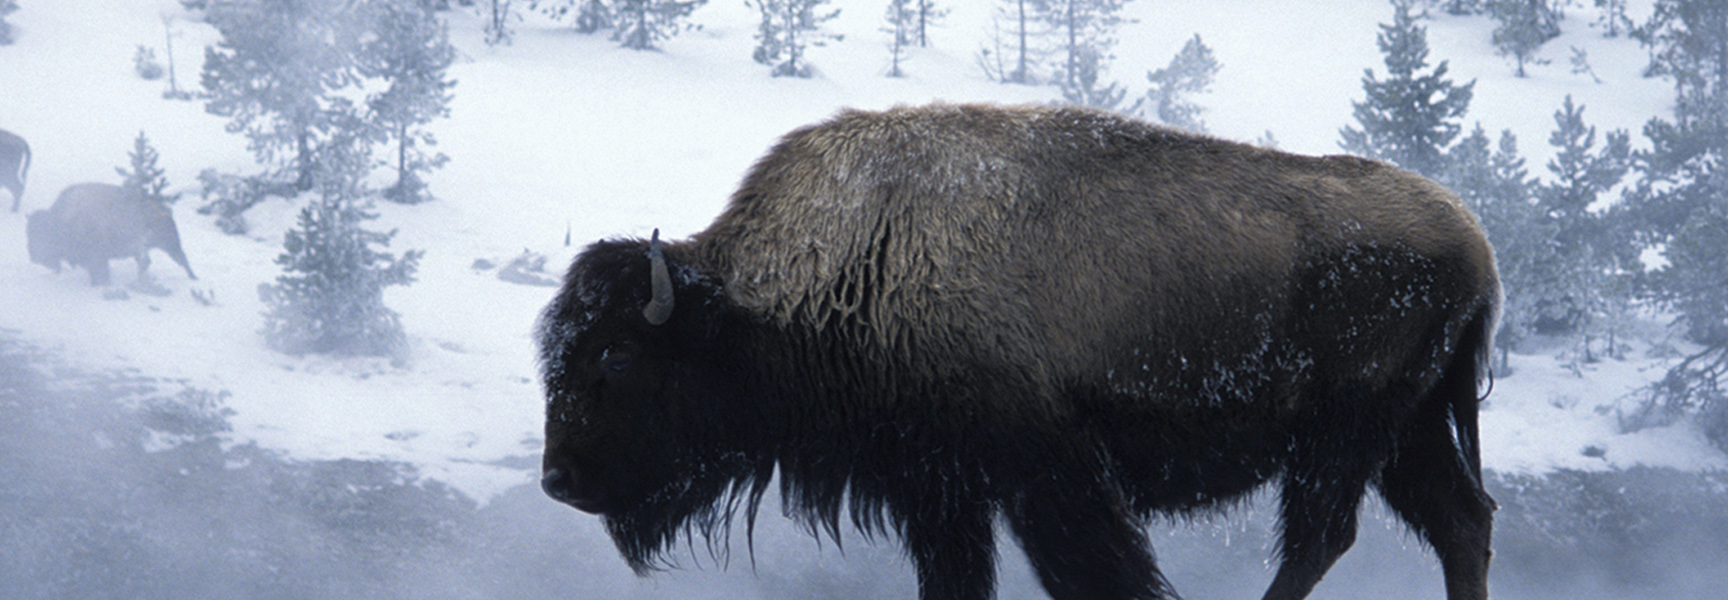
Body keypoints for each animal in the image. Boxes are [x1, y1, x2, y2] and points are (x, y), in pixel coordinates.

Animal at [28, 183, 196, 286]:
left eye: (41, 234)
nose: (34, 257)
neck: (63, 218)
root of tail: (165, 210)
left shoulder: (97, 257)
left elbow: (101, 272)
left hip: (169, 245)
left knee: (181, 259)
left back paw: (193, 278)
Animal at [537, 103, 1501, 600]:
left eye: (616, 358)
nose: (558, 479)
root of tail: (1473, 239)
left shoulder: (1049, 478)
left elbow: (1100, 576)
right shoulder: (940, 490)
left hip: (1344, 436)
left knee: (1323, 537)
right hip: (1406, 432)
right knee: (1459, 521)